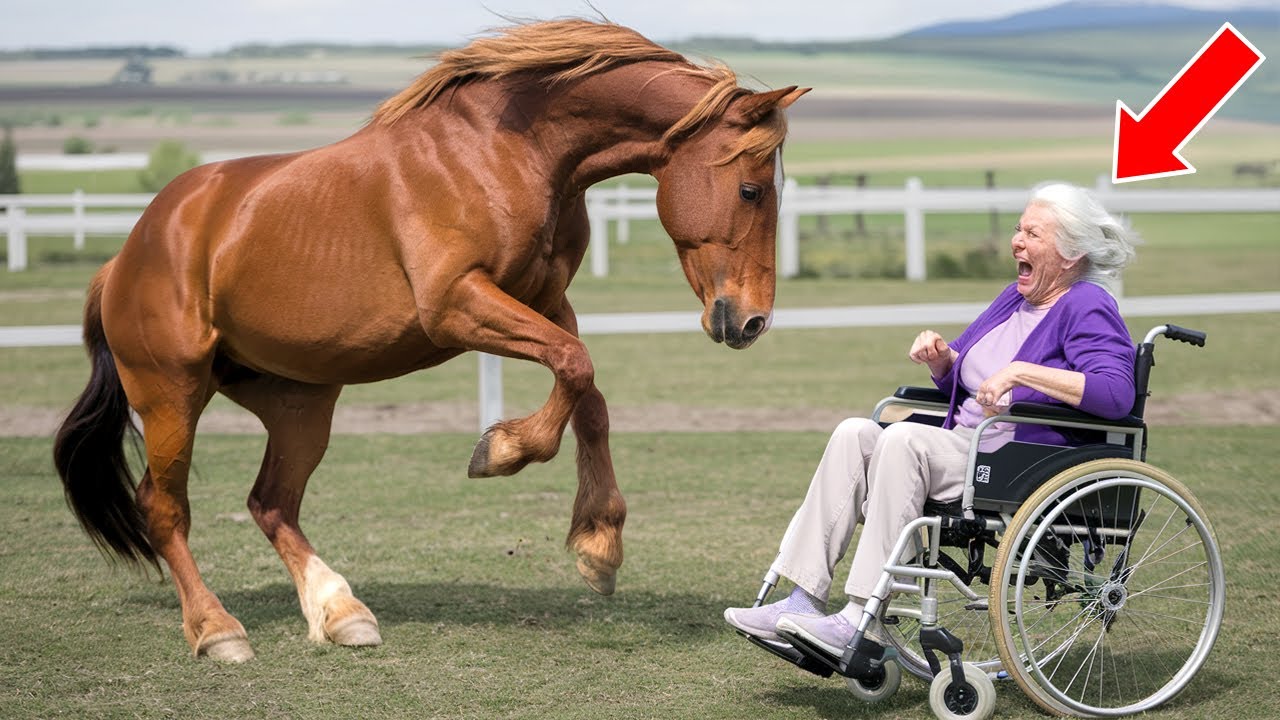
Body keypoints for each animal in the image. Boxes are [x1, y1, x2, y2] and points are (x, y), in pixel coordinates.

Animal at [52, 19, 809, 662]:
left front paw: (598, 543)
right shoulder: (456, 304)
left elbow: (588, 392)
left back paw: (342, 615)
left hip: (299, 402)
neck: (506, 151)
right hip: (172, 394)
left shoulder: (545, 299)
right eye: (751, 190)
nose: (750, 321)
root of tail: (128, 254)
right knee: (165, 509)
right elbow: (574, 367)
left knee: (270, 503)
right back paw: (217, 632)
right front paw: (502, 453)